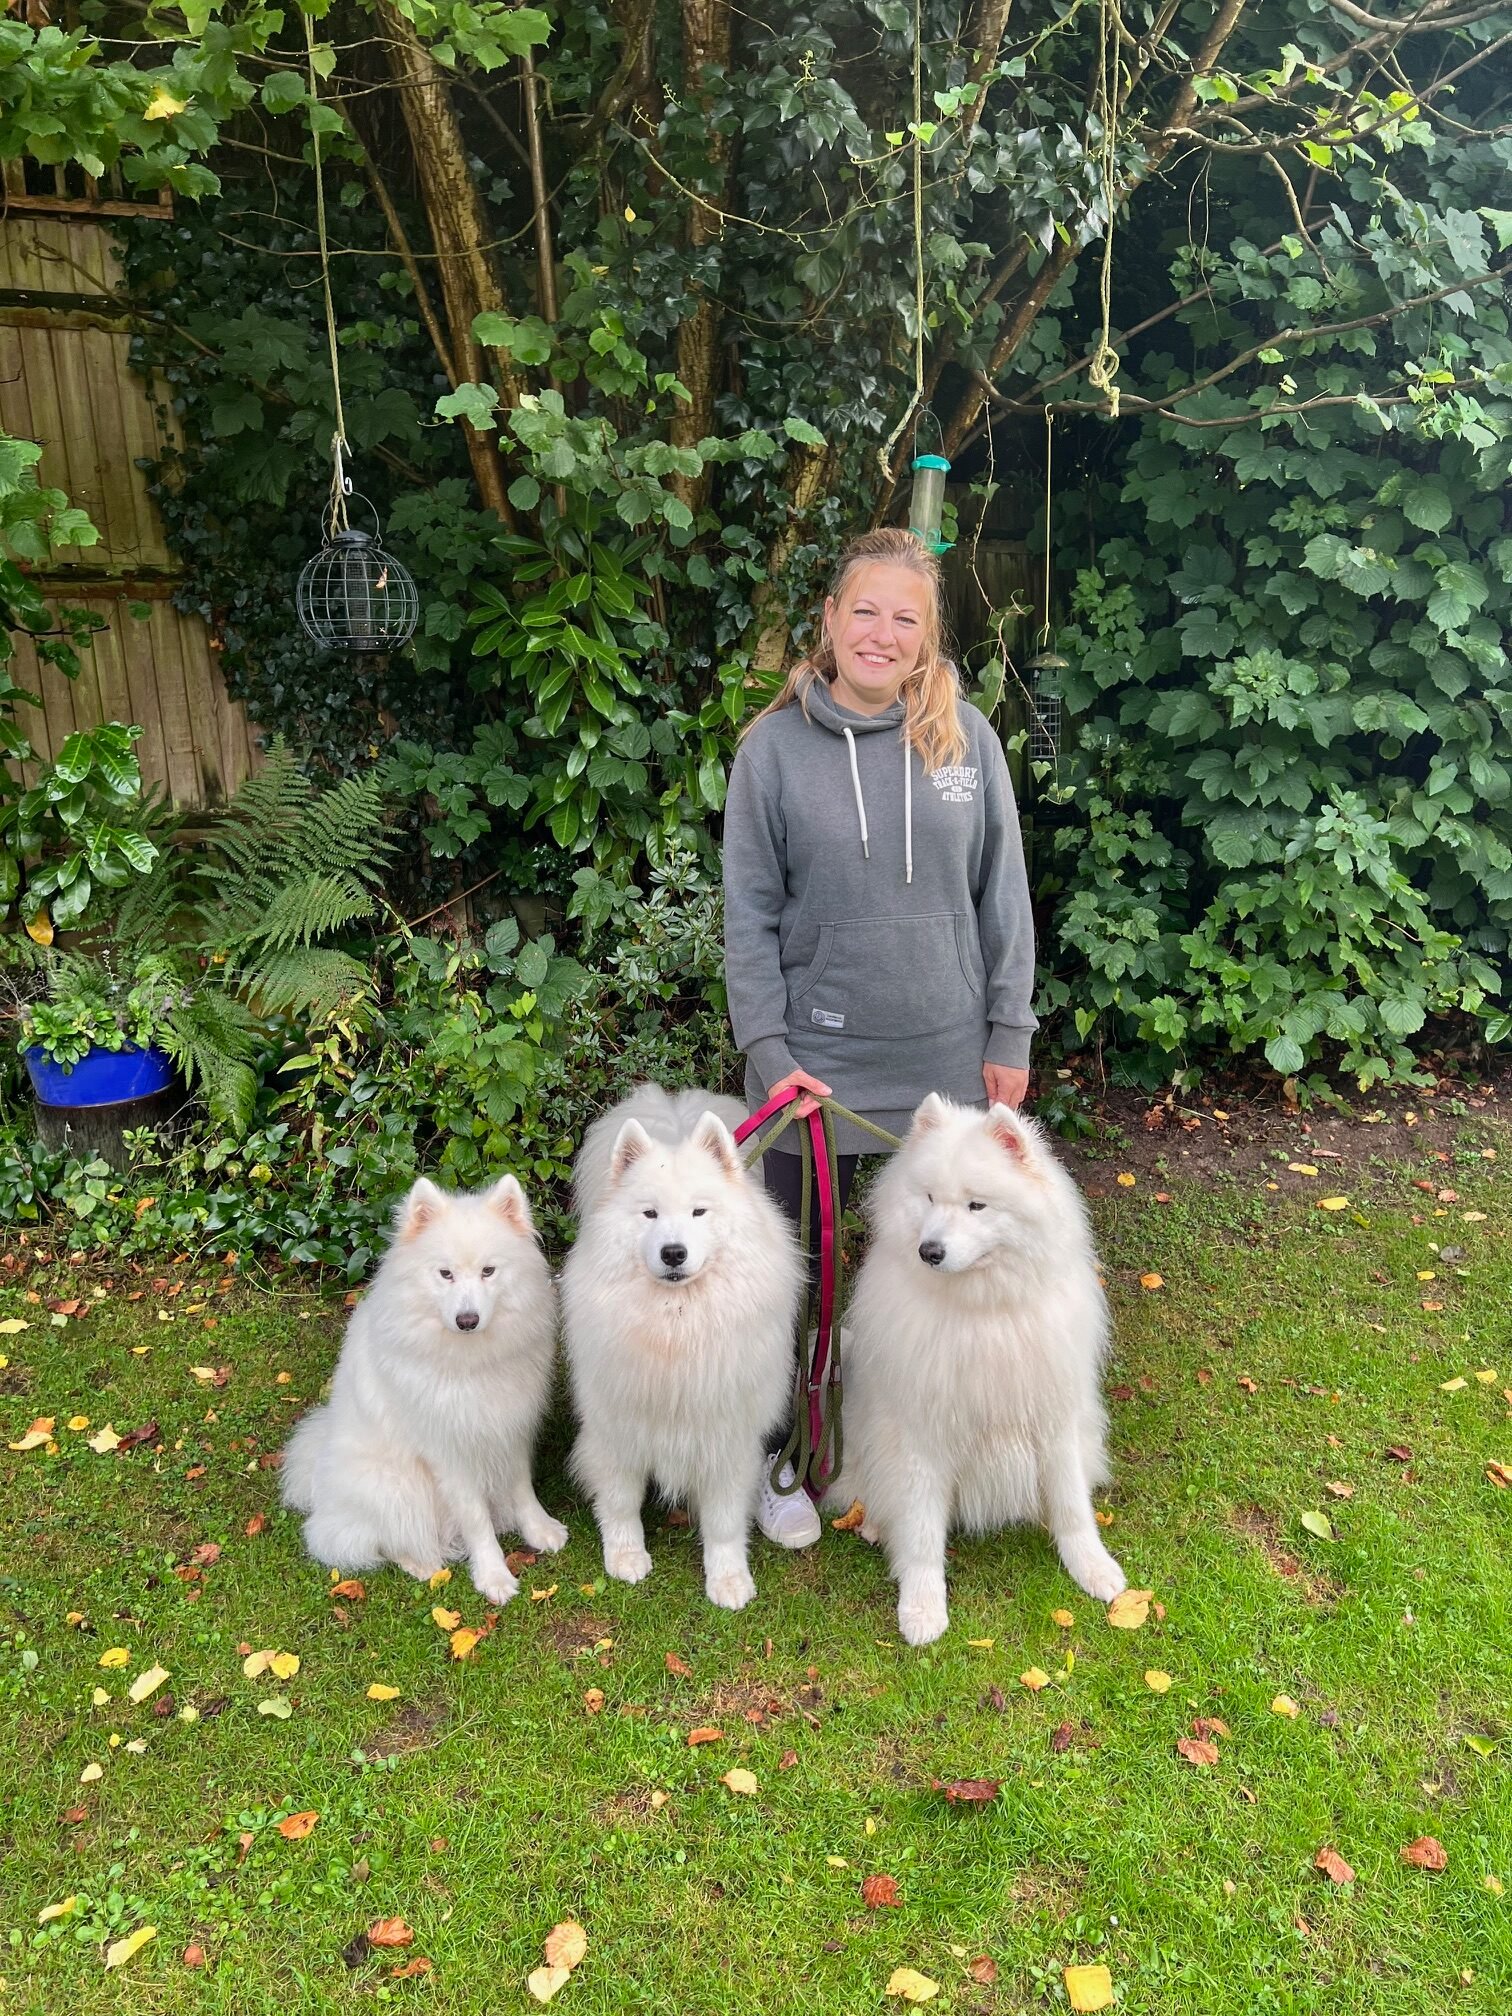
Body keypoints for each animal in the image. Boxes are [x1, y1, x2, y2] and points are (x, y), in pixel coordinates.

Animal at [280, 1177, 568, 1596]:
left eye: (488, 1271)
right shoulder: (449, 1450)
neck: (470, 1361)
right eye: (445, 1274)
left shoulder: (509, 1428)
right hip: (396, 1485)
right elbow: (476, 1519)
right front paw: (493, 1575)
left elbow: (522, 1488)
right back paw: (423, 1565)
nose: (467, 1320)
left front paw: (540, 1530)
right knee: (375, 1539)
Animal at [564, 1080, 806, 1612]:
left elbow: (724, 1521)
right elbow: (620, 1500)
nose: (673, 1252)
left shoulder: (727, 1435)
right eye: (649, 1213)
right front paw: (626, 1556)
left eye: (699, 1211)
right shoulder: (617, 1425)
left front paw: (728, 1579)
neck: (677, 1325)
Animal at [842, 1096, 1128, 1645]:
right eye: (929, 1198)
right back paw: (872, 1522)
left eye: (977, 1206)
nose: (929, 1251)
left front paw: (1093, 1568)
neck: (983, 1314)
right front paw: (923, 1608)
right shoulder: (923, 1433)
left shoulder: (1054, 1417)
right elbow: (922, 1530)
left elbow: (1071, 1505)